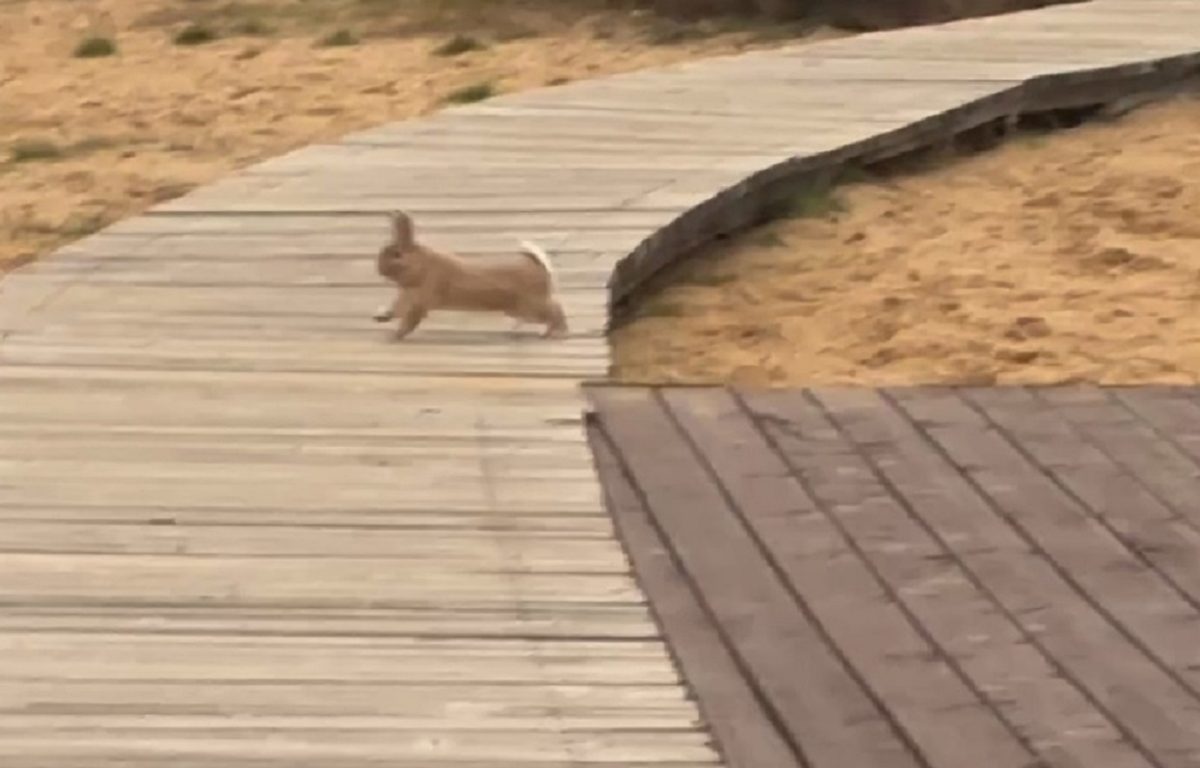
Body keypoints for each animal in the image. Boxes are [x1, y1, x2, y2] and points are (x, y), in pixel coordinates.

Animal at [369, 211, 566, 340]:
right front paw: (381, 317)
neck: (422, 265)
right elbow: (396, 309)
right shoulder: (407, 296)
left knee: (556, 313)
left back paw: (553, 333)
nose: (379, 270)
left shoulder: (421, 299)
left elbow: (409, 319)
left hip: (533, 305)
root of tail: (541, 269)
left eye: (397, 255)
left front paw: (396, 335)